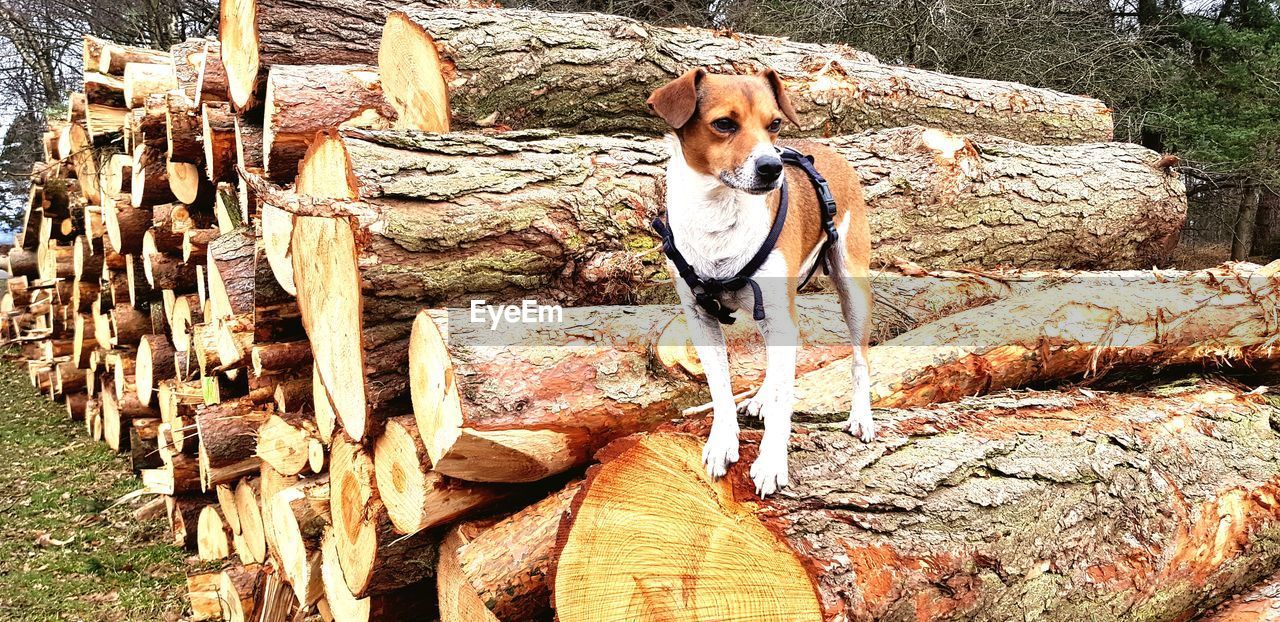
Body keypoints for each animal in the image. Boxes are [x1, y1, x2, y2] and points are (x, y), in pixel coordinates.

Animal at [645, 68, 875, 496]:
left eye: (775, 124)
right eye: (724, 124)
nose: (772, 167)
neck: (719, 214)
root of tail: (829, 151)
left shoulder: (781, 318)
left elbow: (786, 399)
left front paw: (771, 462)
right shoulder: (701, 317)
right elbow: (720, 387)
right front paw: (723, 441)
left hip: (852, 286)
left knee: (859, 359)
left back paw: (861, 416)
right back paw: (762, 396)